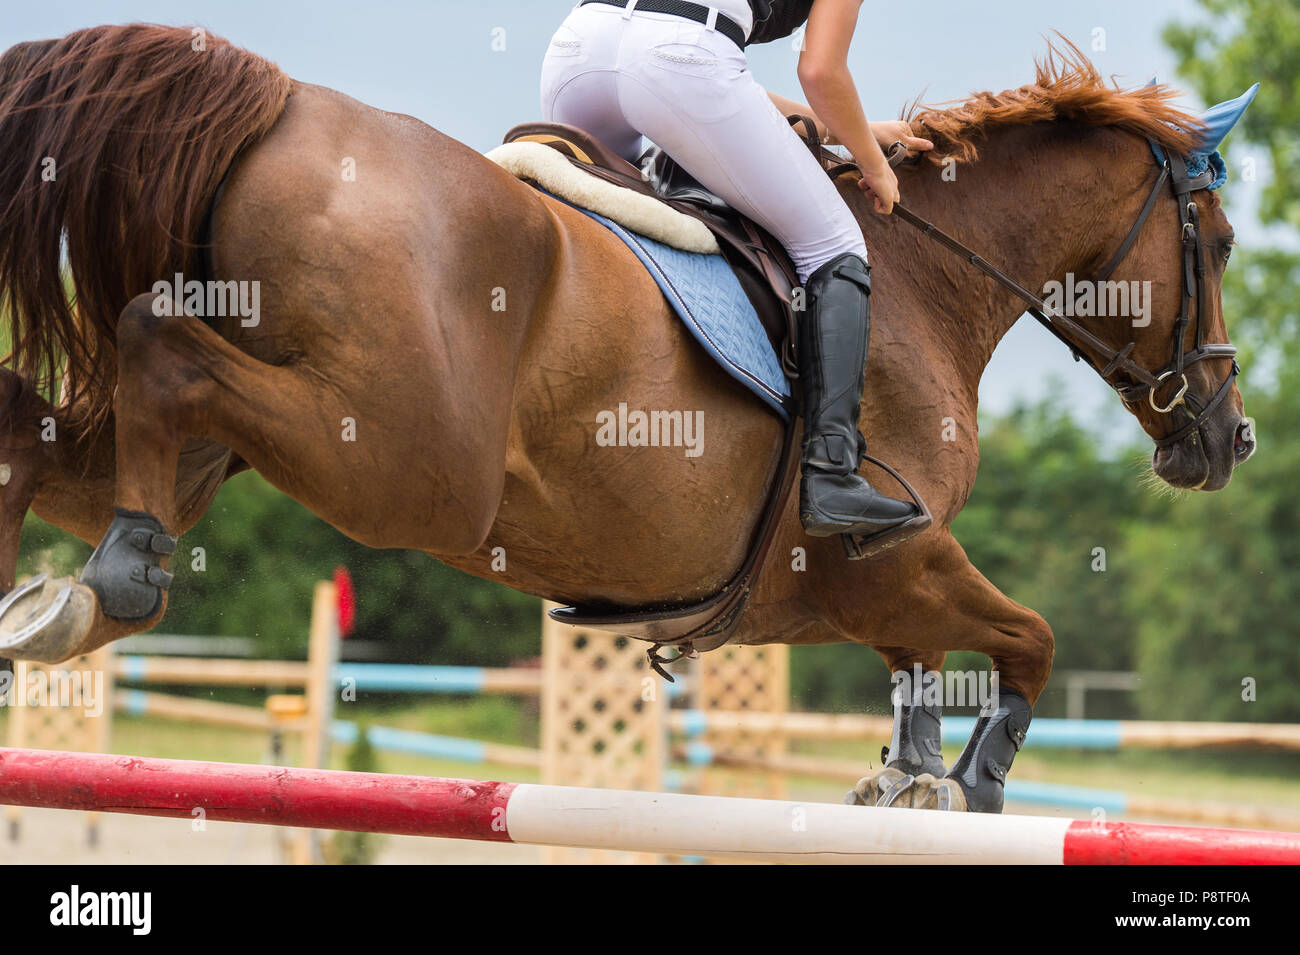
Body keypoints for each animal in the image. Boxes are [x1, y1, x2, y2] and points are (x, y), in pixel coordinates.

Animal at [0, 25, 1254, 812]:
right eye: (1226, 242)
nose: (1229, 436)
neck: (924, 277)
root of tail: (281, 104)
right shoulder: (881, 560)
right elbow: (1030, 637)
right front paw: (976, 781)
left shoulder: (877, 587)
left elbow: (936, 661)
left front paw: (909, 773)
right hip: (403, 468)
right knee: (157, 351)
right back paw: (111, 584)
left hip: (234, 455)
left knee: (37, 428)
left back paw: (59, 593)